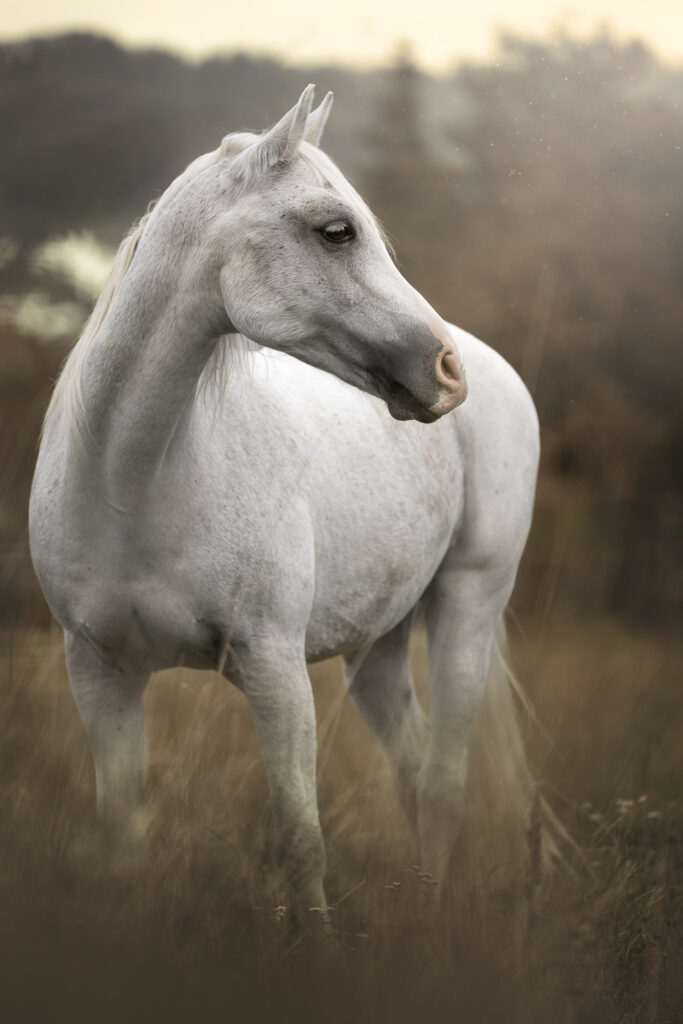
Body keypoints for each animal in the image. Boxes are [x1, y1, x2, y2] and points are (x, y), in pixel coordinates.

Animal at [29, 85, 540, 929]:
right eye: (336, 231)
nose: (444, 371)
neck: (132, 483)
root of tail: (495, 367)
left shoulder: (272, 667)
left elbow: (301, 842)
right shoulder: (99, 673)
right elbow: (122, 837)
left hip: (468, 604)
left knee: (440, 786)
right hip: (377, 645)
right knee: (411, 770)